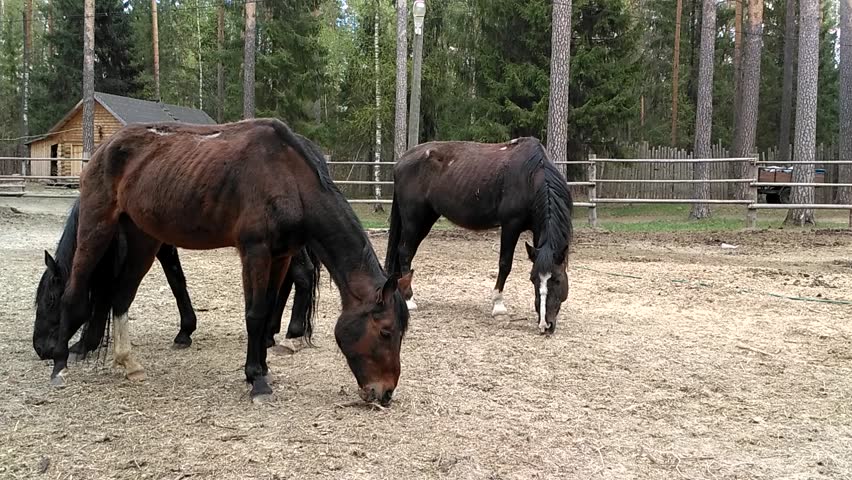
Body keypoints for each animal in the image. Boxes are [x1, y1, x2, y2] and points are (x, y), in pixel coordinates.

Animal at [33, 119, 412, 405]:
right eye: (386, 331)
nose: (385, 392)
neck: (288, 177)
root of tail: (104, 149)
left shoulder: (280, 255)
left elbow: (269, 307)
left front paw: (263, 367)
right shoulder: (255, 251)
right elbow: (255, 314)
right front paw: (257, 380)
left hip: (141, 237)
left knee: (121, 295)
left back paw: (128, 364)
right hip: (98, 227)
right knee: (78, 291)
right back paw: (61, 366)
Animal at [384, 137, 572, 334]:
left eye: (558, 280)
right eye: (533, 279)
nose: (545, 324)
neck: (531, 175)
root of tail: (402, 161)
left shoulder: (537, 230)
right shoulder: (510, 225)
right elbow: (505, 264)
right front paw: (498, 306)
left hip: (426, 218)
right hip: (414, 220)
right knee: (405, 252)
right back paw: (409, 300)